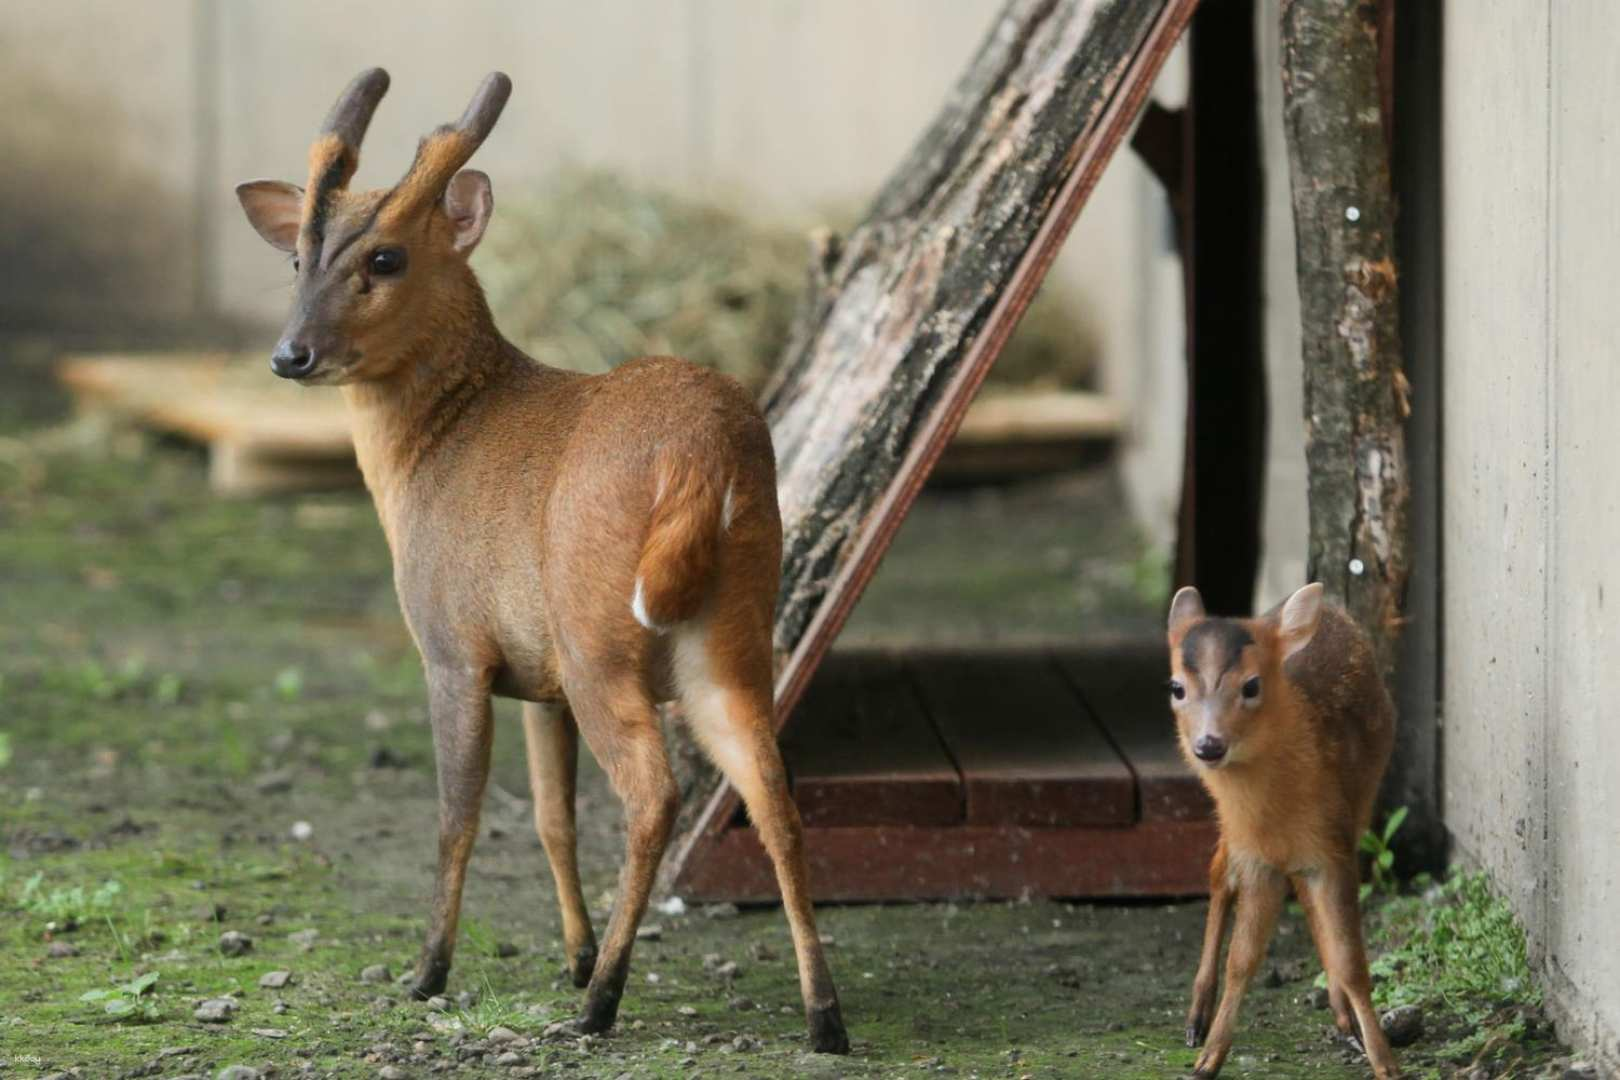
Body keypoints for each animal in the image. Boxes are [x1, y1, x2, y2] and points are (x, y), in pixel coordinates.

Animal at [238, 69, 855, 1055]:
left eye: (386, 259)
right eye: (298, 258)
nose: (290, 355)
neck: (434, 450)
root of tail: (705, 459)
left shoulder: (453, 646)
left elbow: (459, 813)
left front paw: (430, 971)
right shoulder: (539, 678)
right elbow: (550, 815)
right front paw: (569, 950)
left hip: (600, 631)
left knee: (652, 793)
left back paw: (602, 1003)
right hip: (732, 632)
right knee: (773, 792)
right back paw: (822, 1017)